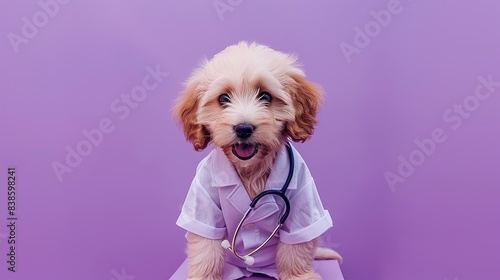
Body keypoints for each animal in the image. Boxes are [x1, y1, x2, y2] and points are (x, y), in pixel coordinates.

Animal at [172, 42, 340, 280]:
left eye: (266, 97)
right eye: (223, 98)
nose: (243, 128)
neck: (251, 169)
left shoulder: (303, 196)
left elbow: (296, 248)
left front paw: (300, 276)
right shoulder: (203, 197)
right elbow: (206, 248)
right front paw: (203, 276)